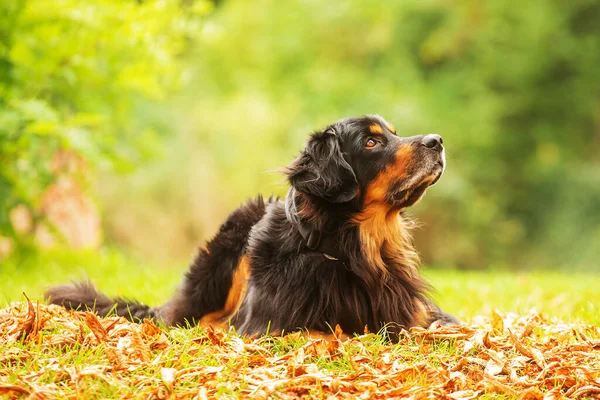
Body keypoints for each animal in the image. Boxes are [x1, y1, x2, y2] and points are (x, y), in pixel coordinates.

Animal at [47, 115, 458, 338]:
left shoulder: (414, 311)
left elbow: (448, 324)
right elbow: (325, 332)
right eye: (372, 142)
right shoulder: (270, 323)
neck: (353, 251)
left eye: (393, 133)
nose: (437, 141)